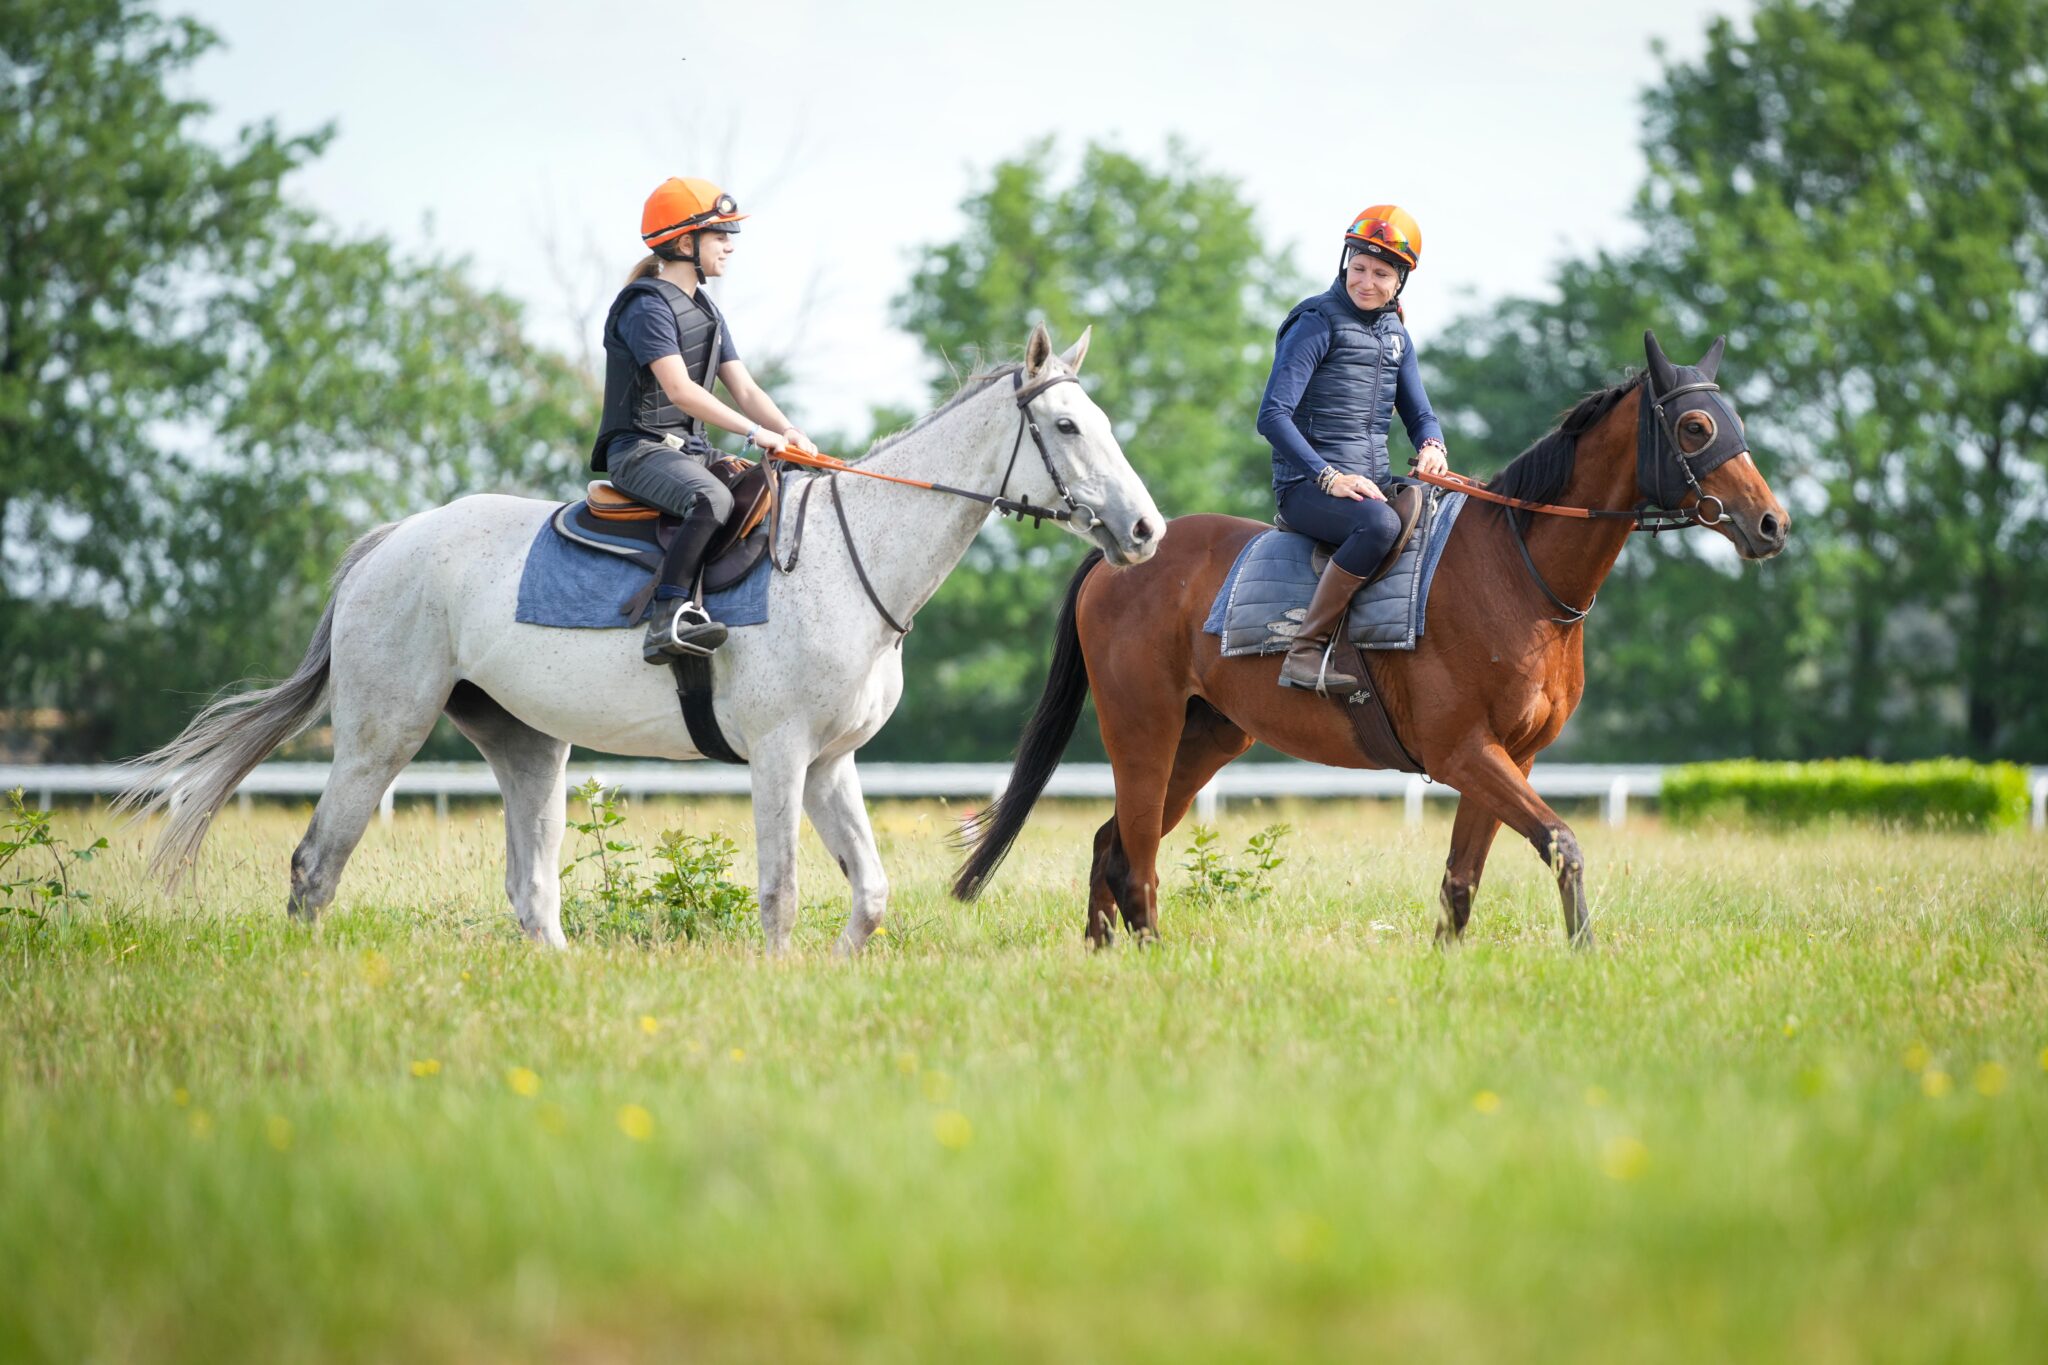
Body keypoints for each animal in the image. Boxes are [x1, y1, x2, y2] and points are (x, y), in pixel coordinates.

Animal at [120, 324, 1164, 956]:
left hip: (528, 745)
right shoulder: (780, 757)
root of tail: (392, 541)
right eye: (1066, 424)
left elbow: (868, 891)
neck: (851, 553)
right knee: (317, 862)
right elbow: (782, 888)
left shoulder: (830, 763)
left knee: (530, 887)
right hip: (383, 734)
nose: (1146, 530)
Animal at [953, 332, 1791, 948]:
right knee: (1137, 858)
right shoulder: (1465, 752)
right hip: (1143, 729)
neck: (1517, 573)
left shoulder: (1510, 757)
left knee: (1111, 844)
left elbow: (1462, 879)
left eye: (1738, 424)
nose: (1772, 523)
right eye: (1696, 427)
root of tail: (1121, 553)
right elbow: (1562, 841)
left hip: (1208, 737)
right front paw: (1583, 951)